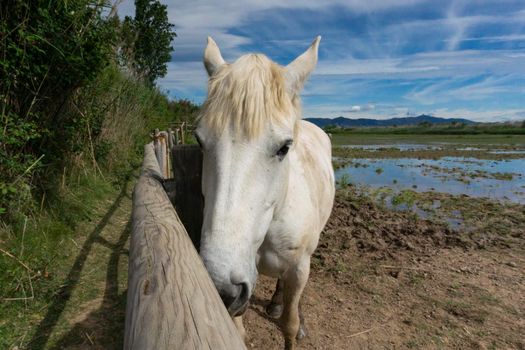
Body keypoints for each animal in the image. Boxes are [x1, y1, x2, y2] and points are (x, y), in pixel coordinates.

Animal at [196, 37, 336, 348]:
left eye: (284, 147)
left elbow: (289, 325)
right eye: (199, 142)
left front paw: (296, 324)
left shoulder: (299, 269)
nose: (220, 288)